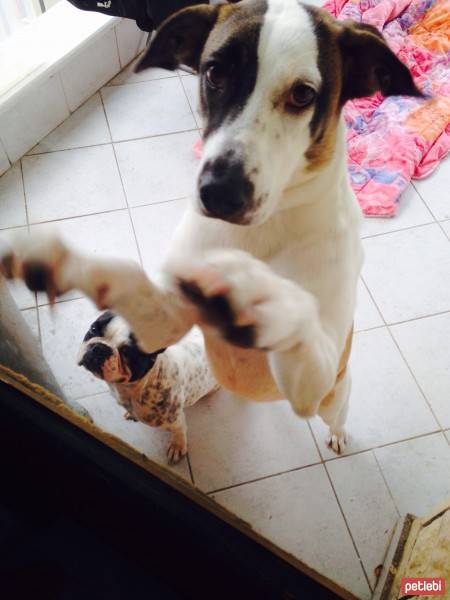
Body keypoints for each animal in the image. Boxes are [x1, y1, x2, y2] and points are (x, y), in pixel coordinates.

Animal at [78, 312, 219, 462]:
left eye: (127, 352)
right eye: (93, 329)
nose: (99, 348)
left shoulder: (175, 419)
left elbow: (179, 431)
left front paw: (177, 445)